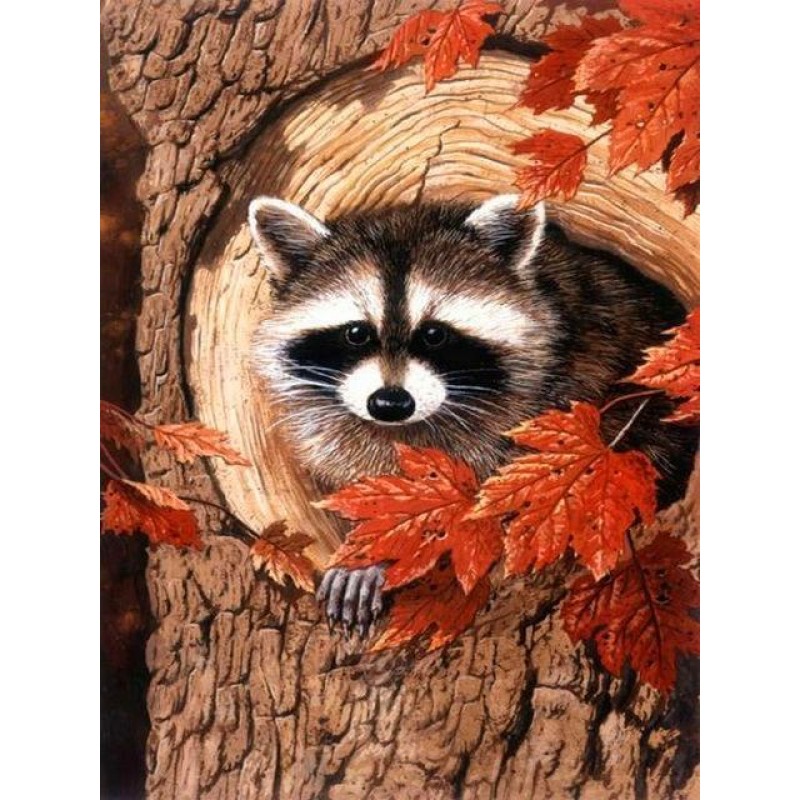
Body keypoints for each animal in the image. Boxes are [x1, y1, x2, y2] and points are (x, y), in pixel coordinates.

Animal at [248, 195, 698, 633]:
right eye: (356, 333)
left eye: (434, 334)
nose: (390, 403)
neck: (405, 430)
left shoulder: (563, 395)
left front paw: (378, 557)